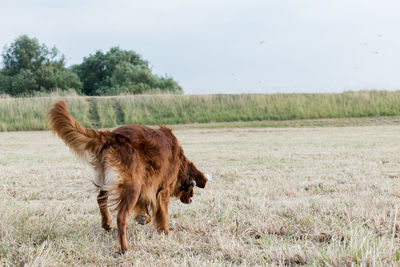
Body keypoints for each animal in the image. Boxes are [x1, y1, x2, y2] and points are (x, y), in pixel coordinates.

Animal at [48, 101, 208, 253]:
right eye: (192, 187)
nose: (191, 198)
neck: (180, 163)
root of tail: (111, 136)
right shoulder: (162, 190)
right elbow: (163, 213)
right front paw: (165, 231)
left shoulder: (146, 183)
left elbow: (143, 205)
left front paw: (143, 217)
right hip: (133, 185)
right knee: (121, 217)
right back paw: (124, 247)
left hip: (109, 179)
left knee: (101, 198)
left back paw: (107, 223)